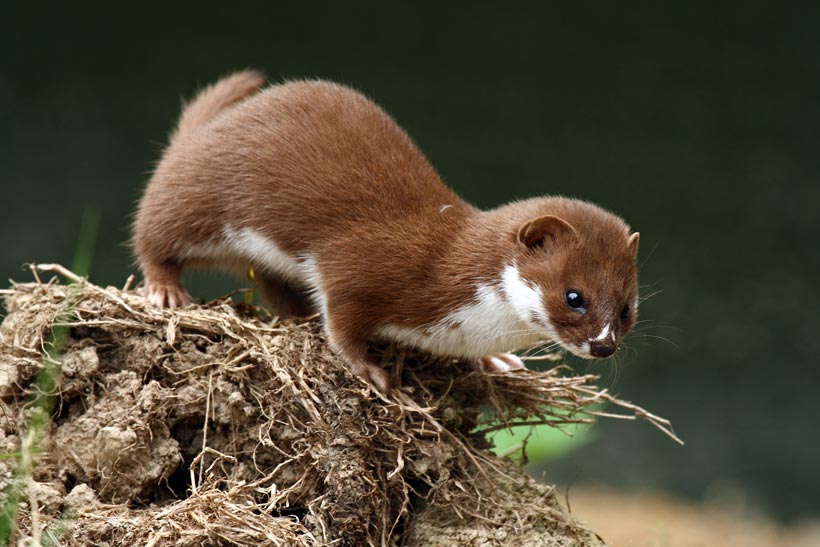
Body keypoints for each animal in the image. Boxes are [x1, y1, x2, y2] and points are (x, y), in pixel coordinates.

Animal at [133, 70, 640, 392]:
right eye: (574, 296)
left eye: (626, 308)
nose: (604, 346)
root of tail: (207, 130)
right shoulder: (360, 265)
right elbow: (341, 322)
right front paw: (369, 369)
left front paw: (495, 360)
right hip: (197, 197)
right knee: (153, 233)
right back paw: (166, 291)